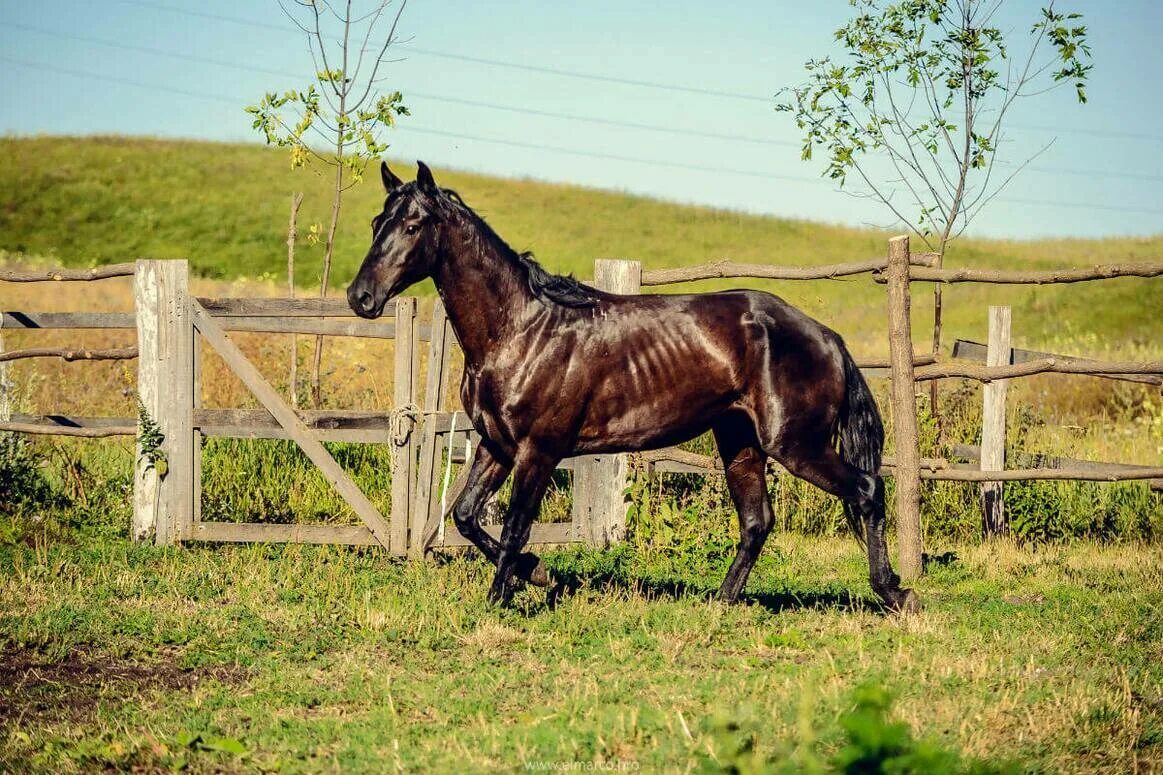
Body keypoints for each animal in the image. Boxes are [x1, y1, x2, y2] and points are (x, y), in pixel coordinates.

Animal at [344, 161, 916, 609]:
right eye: (375, 222)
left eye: (413, 224)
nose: (361, 297)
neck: (523, 329)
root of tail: (827, 338)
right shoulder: (496, 444)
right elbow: (465, 517)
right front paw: (538, 573)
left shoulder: (539, 450)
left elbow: (514, 526)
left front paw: (501, 598)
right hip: (741, 441)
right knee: (757, 521)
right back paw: (721, 602)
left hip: (795, 444)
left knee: (867, 490)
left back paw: (895, 592)